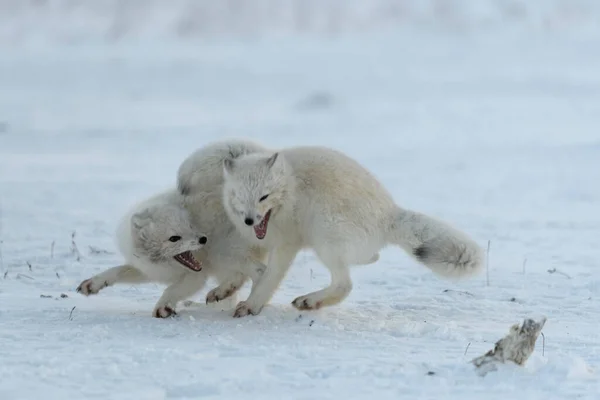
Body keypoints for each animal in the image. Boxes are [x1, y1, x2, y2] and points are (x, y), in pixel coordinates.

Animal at [77, 189, 268, 318]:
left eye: (189, 226)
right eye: (174, 238)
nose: (203, 239)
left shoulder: (196, 276)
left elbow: (171, 289)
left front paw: (163, 307)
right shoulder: (149, 269)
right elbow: (117, 270)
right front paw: (92, 284)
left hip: (224, 253)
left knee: (260, 272)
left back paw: (250, 303)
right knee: (237, 282)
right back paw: (218, 295)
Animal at [218, 145, 486, 318]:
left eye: (264, 197)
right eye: (240, 197)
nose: (249, 221)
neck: (291, 188)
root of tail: (389, 214)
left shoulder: (287, 244)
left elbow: (270, 277)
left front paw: (252, 305)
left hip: (325, 237)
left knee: (344, 285)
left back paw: (310, 301)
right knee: (369, 258)